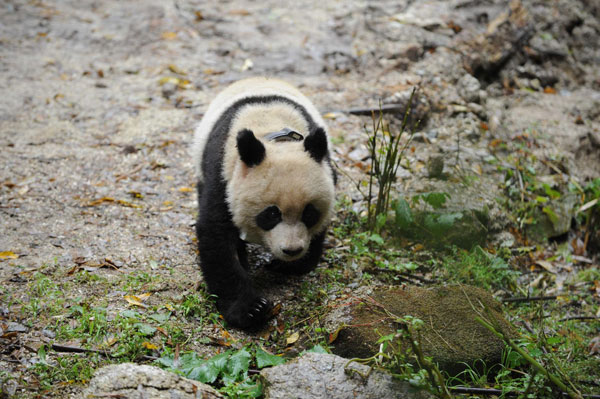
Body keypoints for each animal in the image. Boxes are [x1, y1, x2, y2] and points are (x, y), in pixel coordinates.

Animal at [192, 76, 336, 330]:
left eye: (309, 213)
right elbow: (216, 234)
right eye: (271, 214)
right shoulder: (223, 176)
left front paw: (291, 265)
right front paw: (251, 310)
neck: (273, 137)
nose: (291, 250)